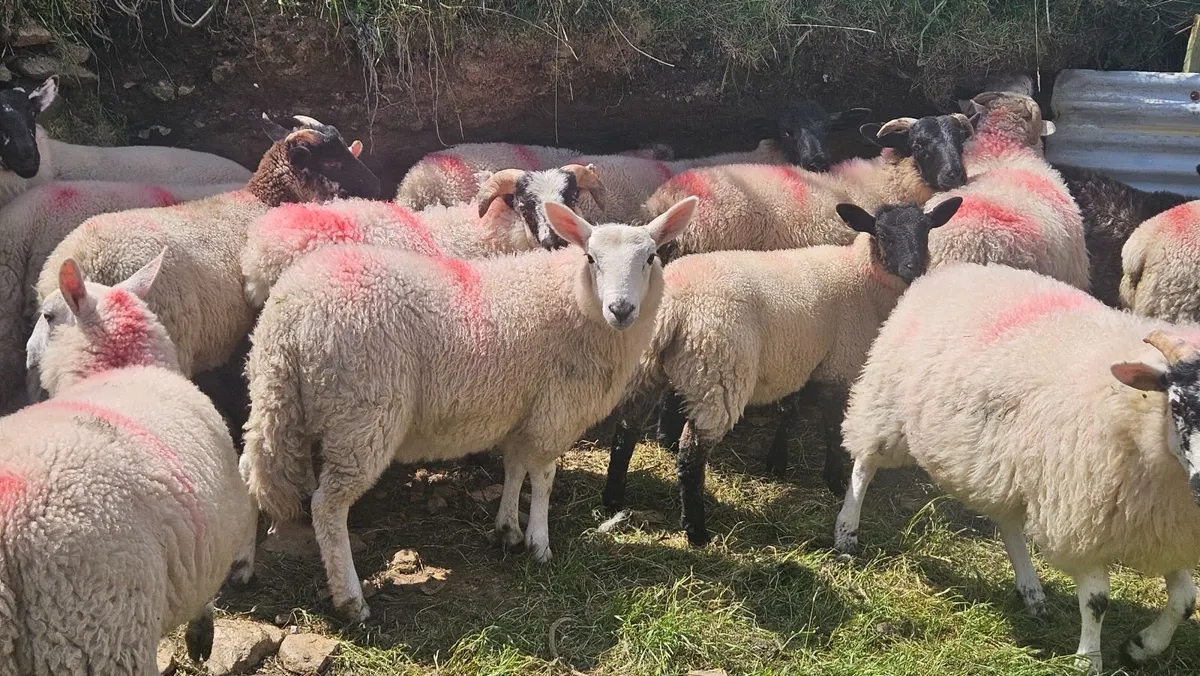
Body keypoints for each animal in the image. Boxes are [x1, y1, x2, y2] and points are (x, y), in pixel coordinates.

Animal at [239, 196, 697, 622]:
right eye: (591, 258)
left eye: (650, 257)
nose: (621, 309)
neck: (575, 301)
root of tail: (289, 315)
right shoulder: (555, 408)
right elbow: (543, 476)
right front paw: (540, 543)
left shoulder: (521, 407)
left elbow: (515, 467)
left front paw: (508, 529)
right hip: (362, 414)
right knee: (328, 506)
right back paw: (351, 600)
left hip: (280, 399)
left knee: (249, 470)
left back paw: (243, 565)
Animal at [603, 197, 962, 545]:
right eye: (883, 235)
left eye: (926, 231)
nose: (915, 268)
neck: (861, 274)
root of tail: (674, 306)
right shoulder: (838, 364)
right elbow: (831, 425)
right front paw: (834, 478)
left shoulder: (798, 359)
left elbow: (788, 411)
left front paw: (777, 462)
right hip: (720, 373)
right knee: (691, 455)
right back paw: (696, 531)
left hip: (651, 367)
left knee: (625, 431)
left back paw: (613, 501)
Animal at [833, 262, 1200, 674]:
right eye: (1177, 404)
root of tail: (956, 270)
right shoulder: (1079, 521)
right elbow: (1097, 601)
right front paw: (1088, 660)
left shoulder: (1163, 527)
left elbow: (1186, 600)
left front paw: (1142, 646)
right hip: (886, 403)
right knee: (864, 462)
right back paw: (846, 532)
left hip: (1002, 462)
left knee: (1008, 522)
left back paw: (1031, 590)